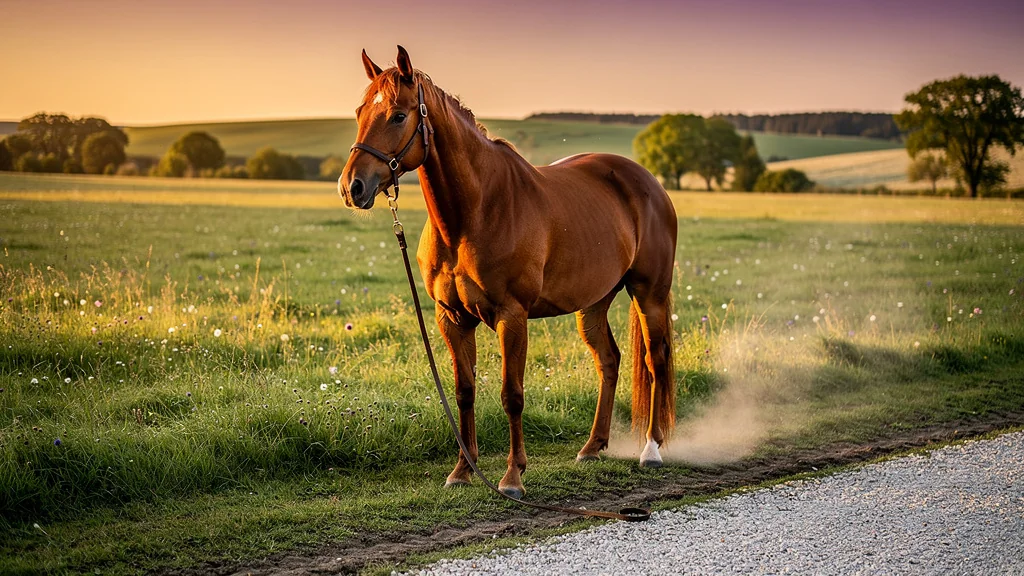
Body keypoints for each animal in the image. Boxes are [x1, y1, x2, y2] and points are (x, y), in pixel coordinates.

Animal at [339, 46, 677, 498]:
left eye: (396, 115)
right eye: (361, 111)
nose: (351, 187)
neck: (474, 213)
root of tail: (649, 183)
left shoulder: (512, 317)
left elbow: (511, 394)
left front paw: (513, 476)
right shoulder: (452, 318)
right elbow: (464, 391)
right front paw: (462, 471)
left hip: (648, 294)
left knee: (656, 361)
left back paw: (651, 450)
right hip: (593, 304)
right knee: (609, 361)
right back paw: (592, 447)